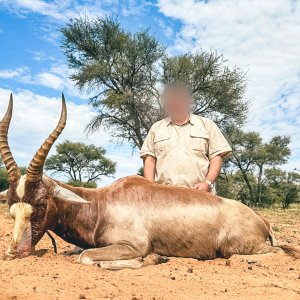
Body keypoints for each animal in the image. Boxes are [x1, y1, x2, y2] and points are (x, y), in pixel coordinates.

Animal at [0, 94, 300, 270]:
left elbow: (88, 257)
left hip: (236, 248)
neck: (101, 203)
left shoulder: (131, 246)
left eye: (40, 204)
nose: (15, 252)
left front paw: (155, 257)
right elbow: (78, 252)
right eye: (11, 208)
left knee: (273, 253)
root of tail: (262, 220)